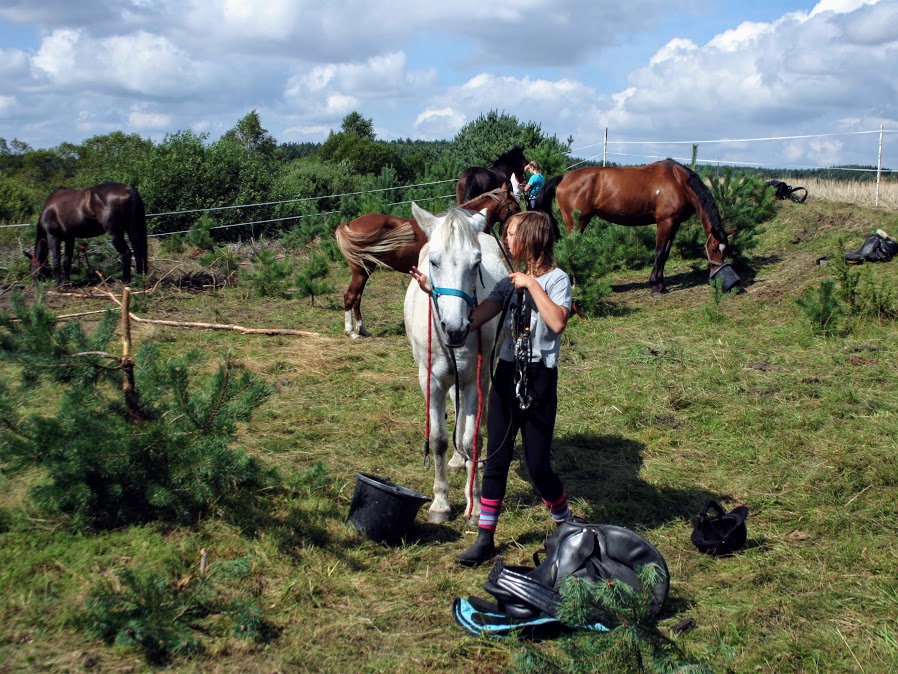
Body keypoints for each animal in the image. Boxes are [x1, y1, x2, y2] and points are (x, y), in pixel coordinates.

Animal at [334, 186, 520, 338]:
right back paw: (351, 331)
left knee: (357, 298)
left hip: (365, 271)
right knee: (350, 296)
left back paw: (362, 329)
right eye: (514, 206)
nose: (511, 229)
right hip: (360, 271)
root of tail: (348, 224)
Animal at [402, 202, 508, 524]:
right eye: (433, 262)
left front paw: (475, 504)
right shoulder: (431, 381)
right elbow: (437, 439)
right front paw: (440, 503)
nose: (455, 329)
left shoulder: (475, 378)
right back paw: (458, 457)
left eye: (476, 264)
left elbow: (475, 438)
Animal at [532, 160, 736, 294]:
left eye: (725, 250)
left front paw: (662, 285)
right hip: (576, 222)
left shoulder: (674, 224)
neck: (679, 182)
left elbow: (665, 254)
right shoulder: (665, 222)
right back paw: (576, 283)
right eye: (712, 248)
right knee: (570, 250)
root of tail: (564, 176)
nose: (716, 275)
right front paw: (655, 287)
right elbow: (659, 253)